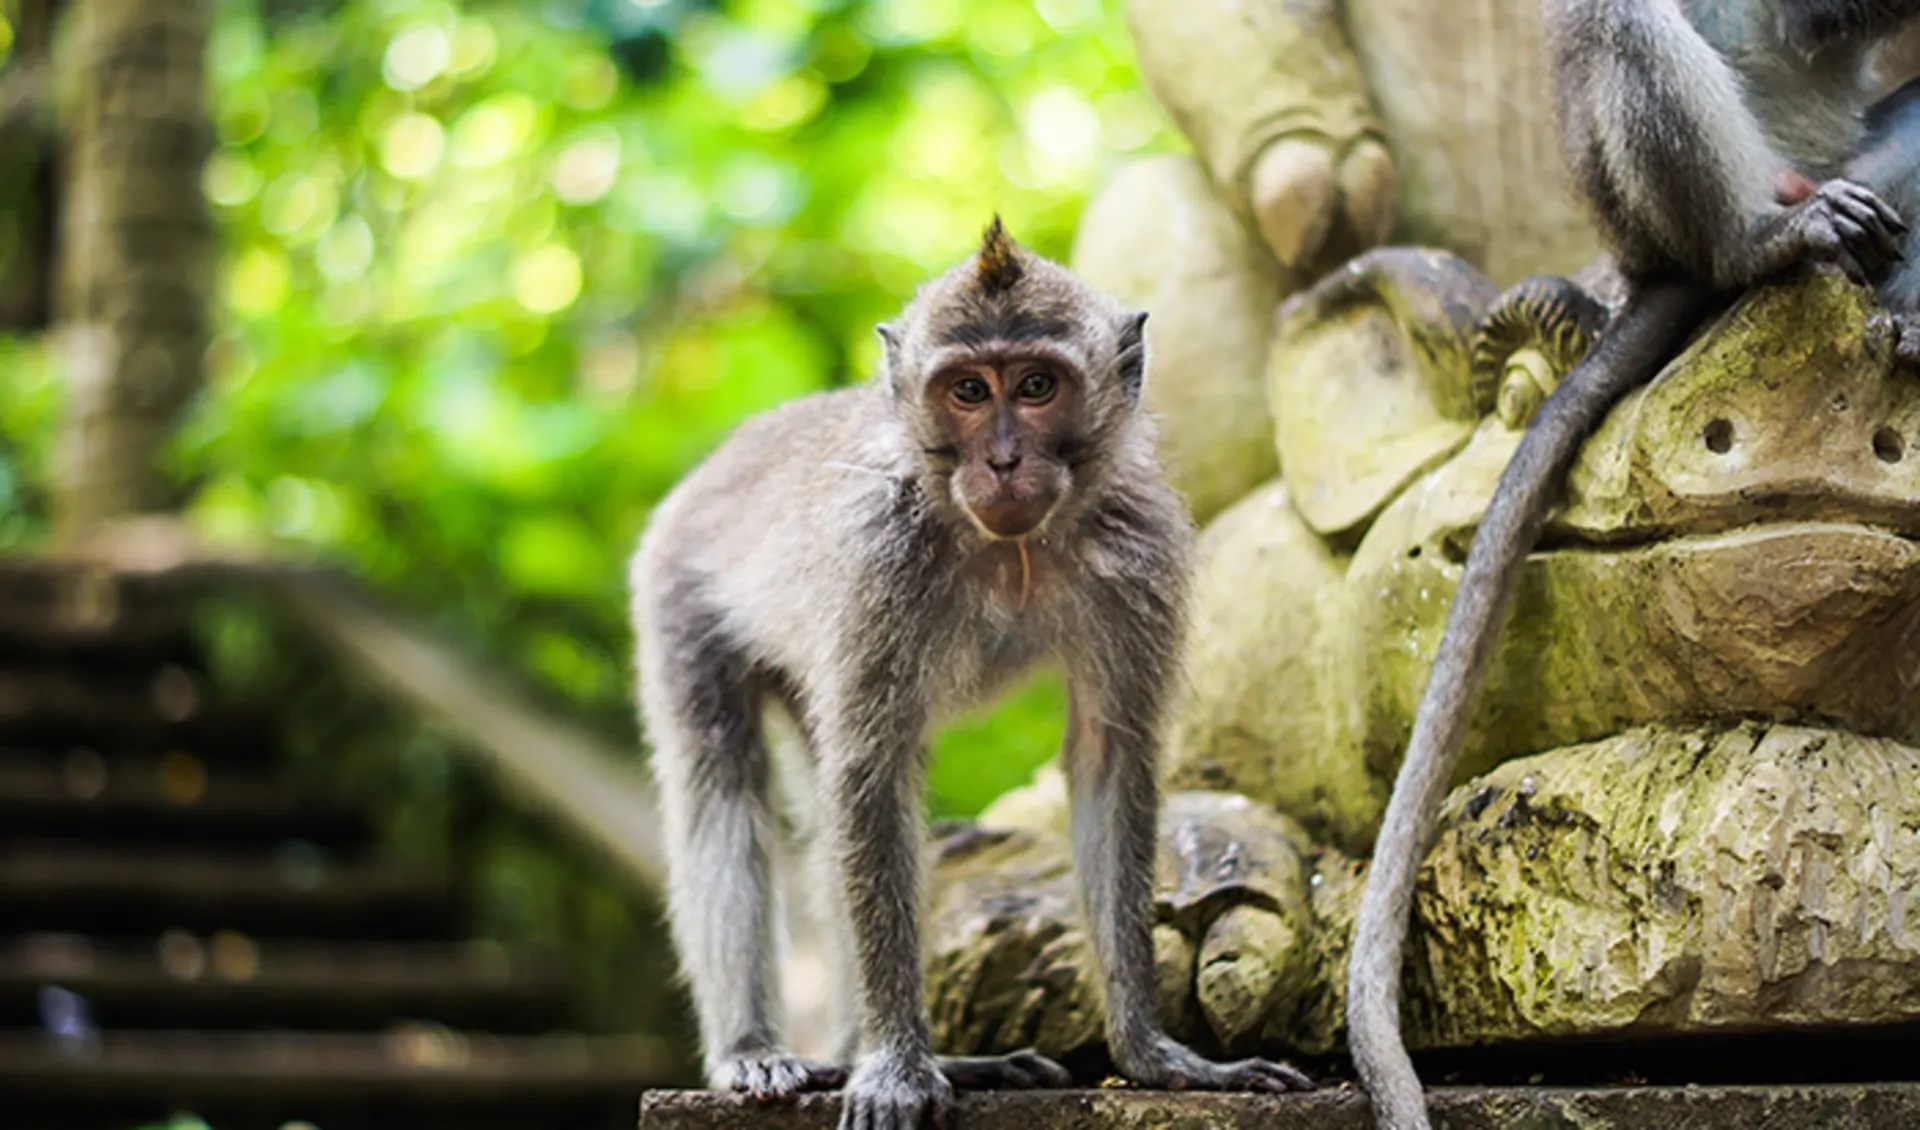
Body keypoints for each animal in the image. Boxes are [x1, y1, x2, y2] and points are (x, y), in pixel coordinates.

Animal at [637, 220, 1313, 1128]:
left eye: (1035, 386)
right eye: (965, 391)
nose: (1001, 458)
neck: (1009, 548)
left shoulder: (1143, 551)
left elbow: (1108, 763)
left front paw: (1155, 1055)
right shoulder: (878, 556)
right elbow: (873, 774)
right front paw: (895, 1068)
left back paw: (888, 1053)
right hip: (677, 591)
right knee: (723, 785)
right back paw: (757, 1050)